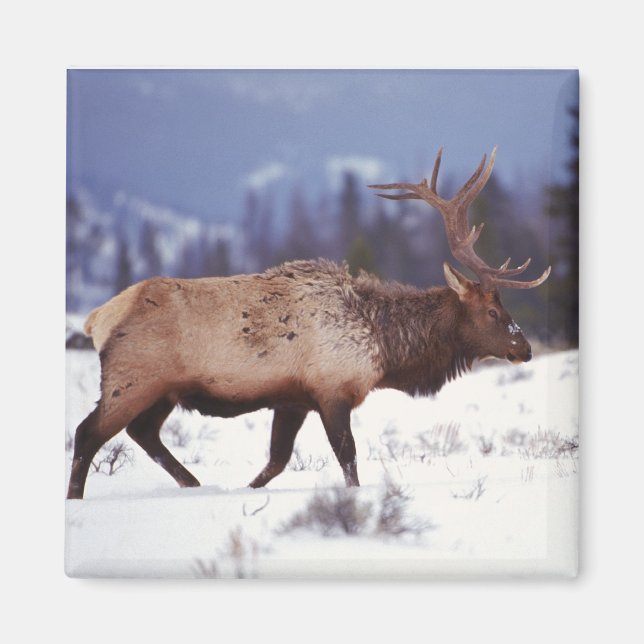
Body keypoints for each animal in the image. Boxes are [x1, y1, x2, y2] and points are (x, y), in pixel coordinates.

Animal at [67, 147, 550, 500]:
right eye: (493, 312)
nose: (524, 348)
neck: (385, 347)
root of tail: (97, 319)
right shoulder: (332, 390)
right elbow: (348, 457)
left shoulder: (293, 399)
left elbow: (276, 461)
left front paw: (245, 490)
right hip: (131, 380)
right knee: (88, 433)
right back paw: (78, 499)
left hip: (162, 390)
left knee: (142, 432)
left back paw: (194, 484)